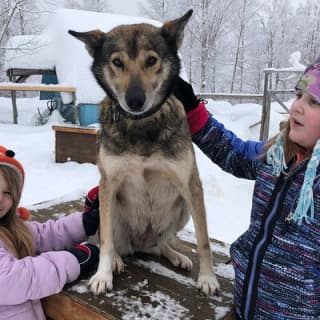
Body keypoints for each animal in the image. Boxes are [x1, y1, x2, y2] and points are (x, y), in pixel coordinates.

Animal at [69, 9, 220, 296]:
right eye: (117, 62)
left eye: (151, 60)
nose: (135, 100)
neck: (141, 123)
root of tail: (139, 244)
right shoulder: (108, 183)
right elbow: (106, 241)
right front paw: (103, 275)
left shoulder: (191, 185)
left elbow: (204, 241)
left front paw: (207, 278)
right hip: (107, 204)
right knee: (109, 240)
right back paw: (117, 260)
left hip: (182, 208)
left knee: (161, 244)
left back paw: (174, 254)